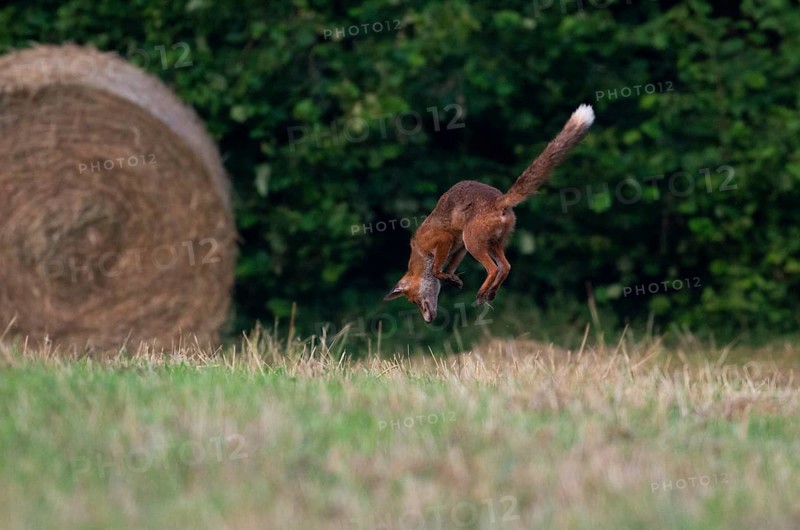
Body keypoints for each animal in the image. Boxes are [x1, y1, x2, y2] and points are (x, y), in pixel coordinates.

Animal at [384, 103, 595, 322]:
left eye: (415, 301)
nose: (428, 320)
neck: (419, 250)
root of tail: (498, 201)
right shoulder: (460, 248)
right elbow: (448, 269)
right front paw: (453, 280)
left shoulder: (444, 239)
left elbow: (435, 269)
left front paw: (444, 277)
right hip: (490, 244)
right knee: (506, 267)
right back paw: (489, 293)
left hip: (474, 243)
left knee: (493, 269)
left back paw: (481, 294)